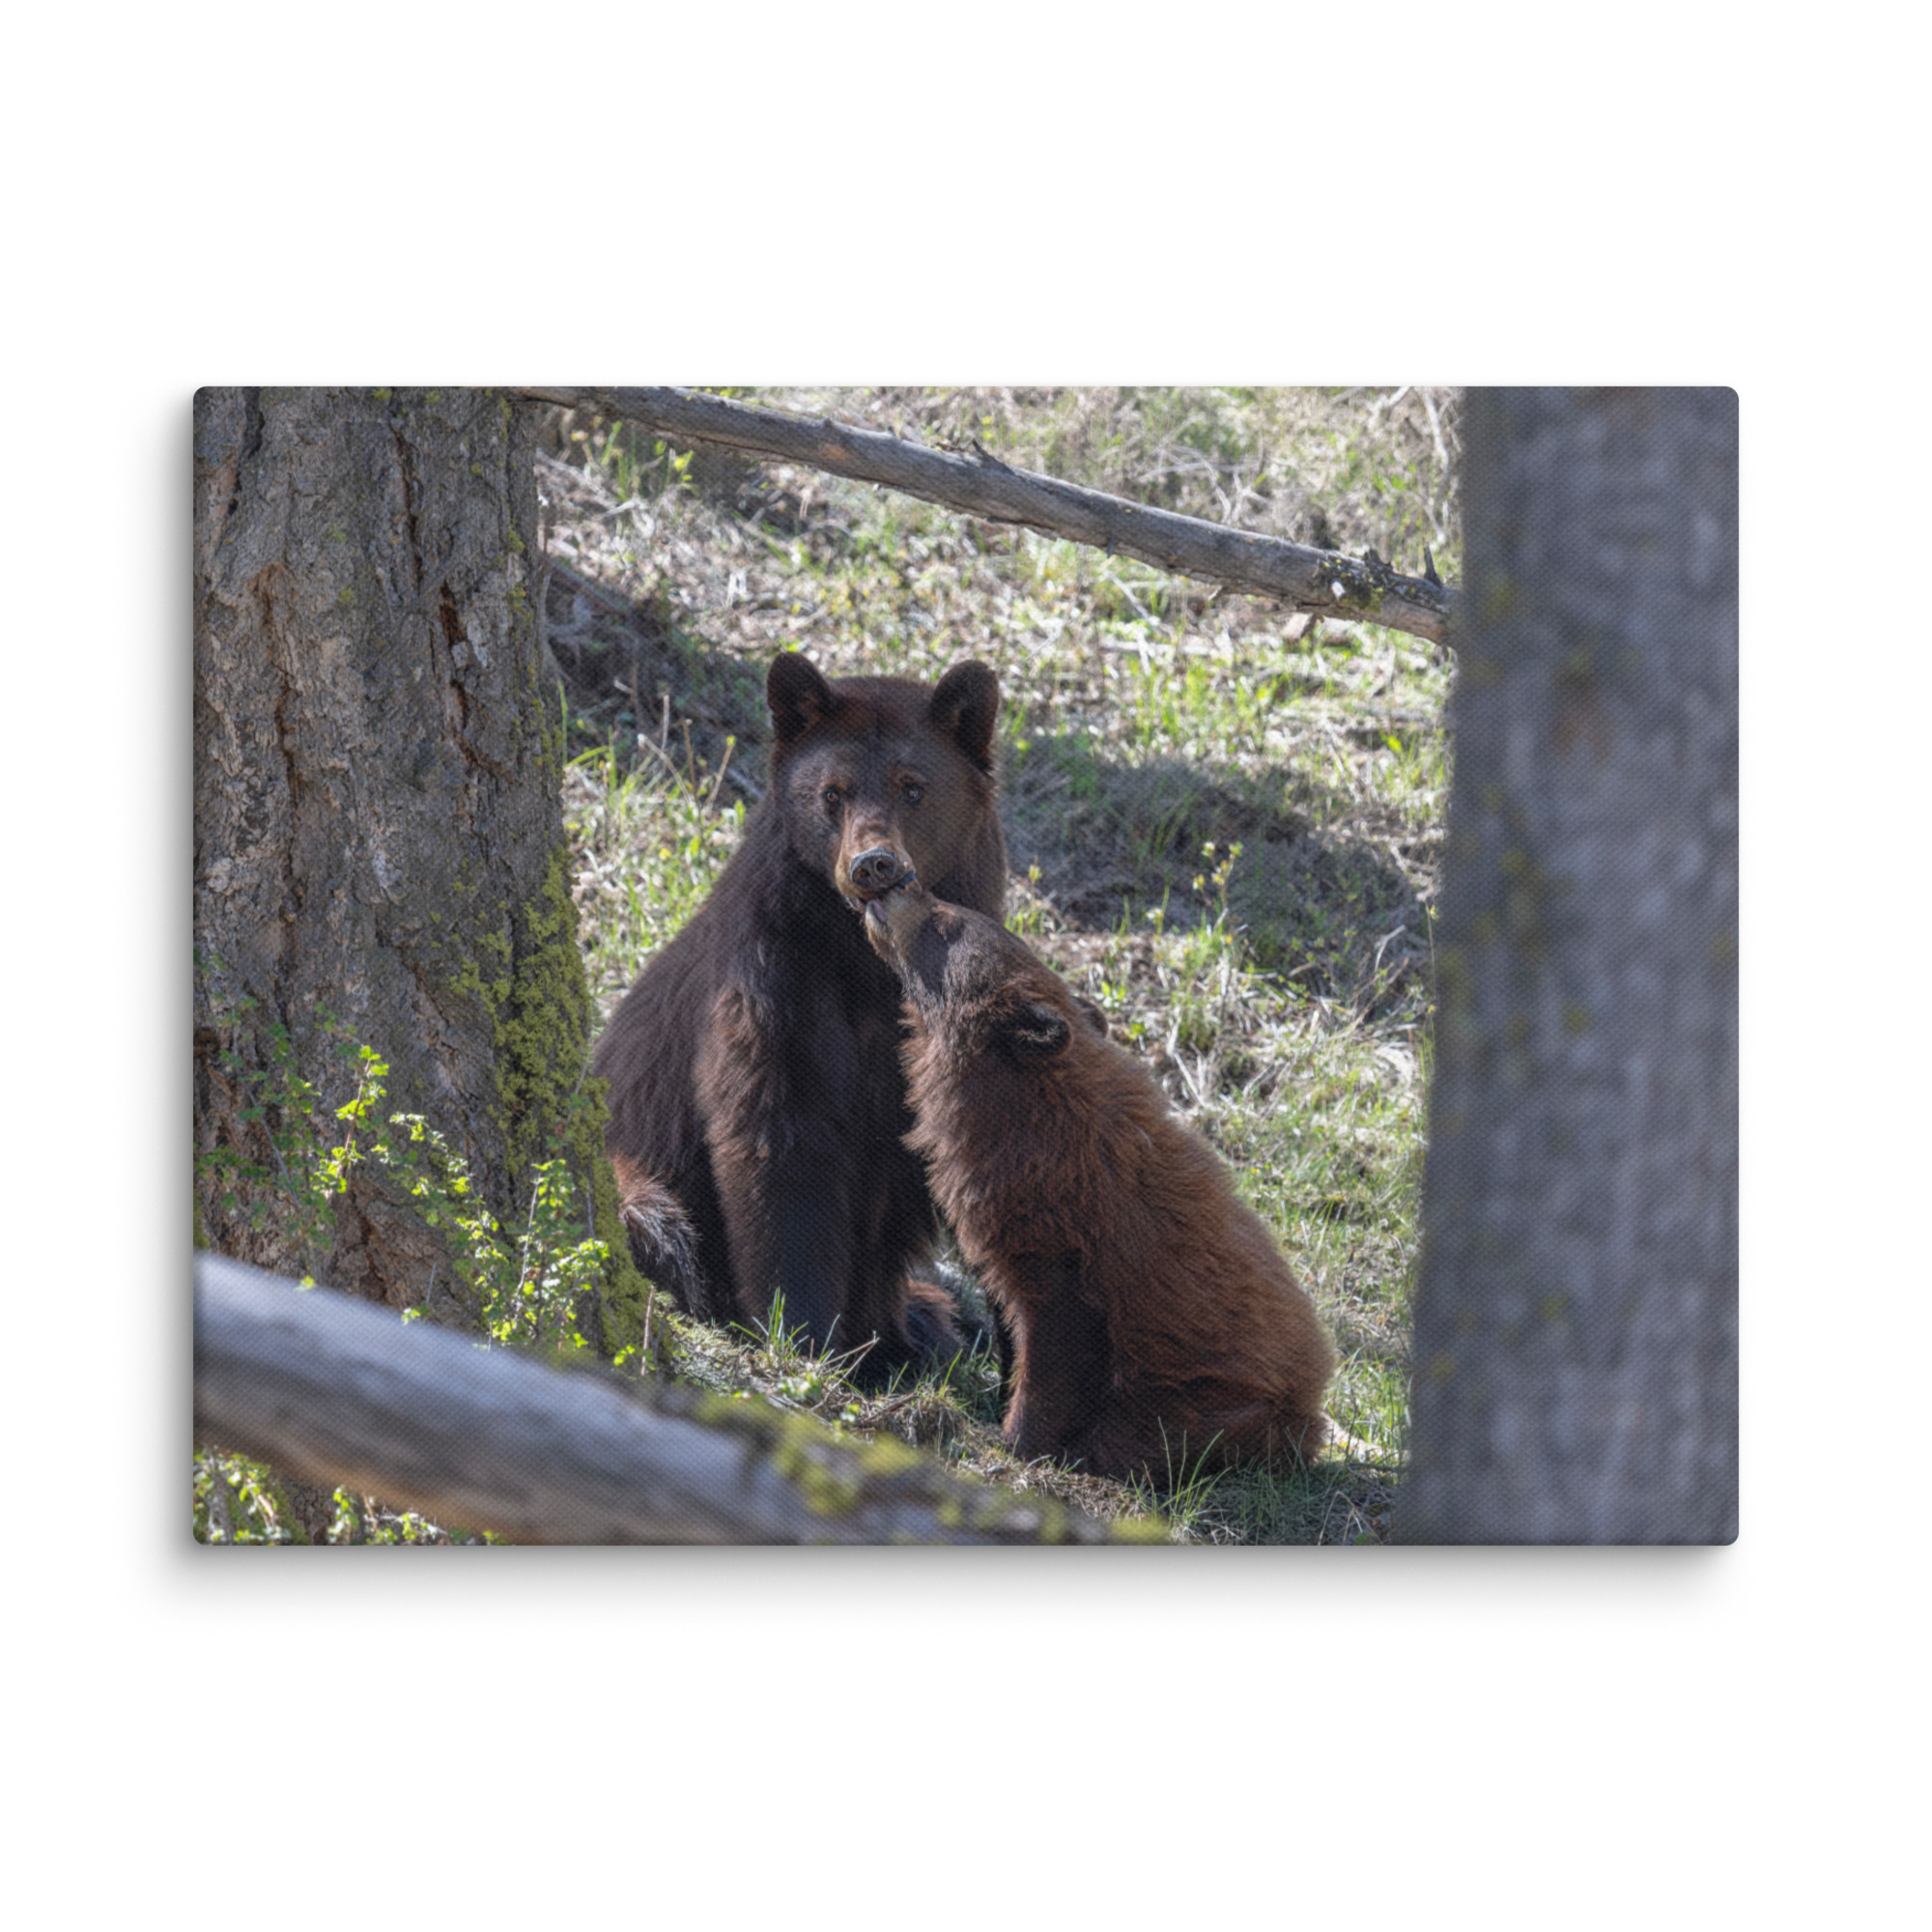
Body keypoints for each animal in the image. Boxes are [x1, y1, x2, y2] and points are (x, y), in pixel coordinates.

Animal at [592, 649, 1008, 1384]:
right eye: (832, 793)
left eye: (913, 787)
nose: (873, 864)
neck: (867, 961)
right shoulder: (773, 979)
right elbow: (780, 1141)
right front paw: (806, 1334)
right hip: (633, 1173)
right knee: (659, 1223)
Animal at [862, 877, 1337, 1479]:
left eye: (946, 922)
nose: (902, 883)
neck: (1024, 1110)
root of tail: (1313, 1404)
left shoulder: (1065, 1234)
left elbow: (1057, 1341)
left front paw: (1016, 1439)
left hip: (1218, 1407)